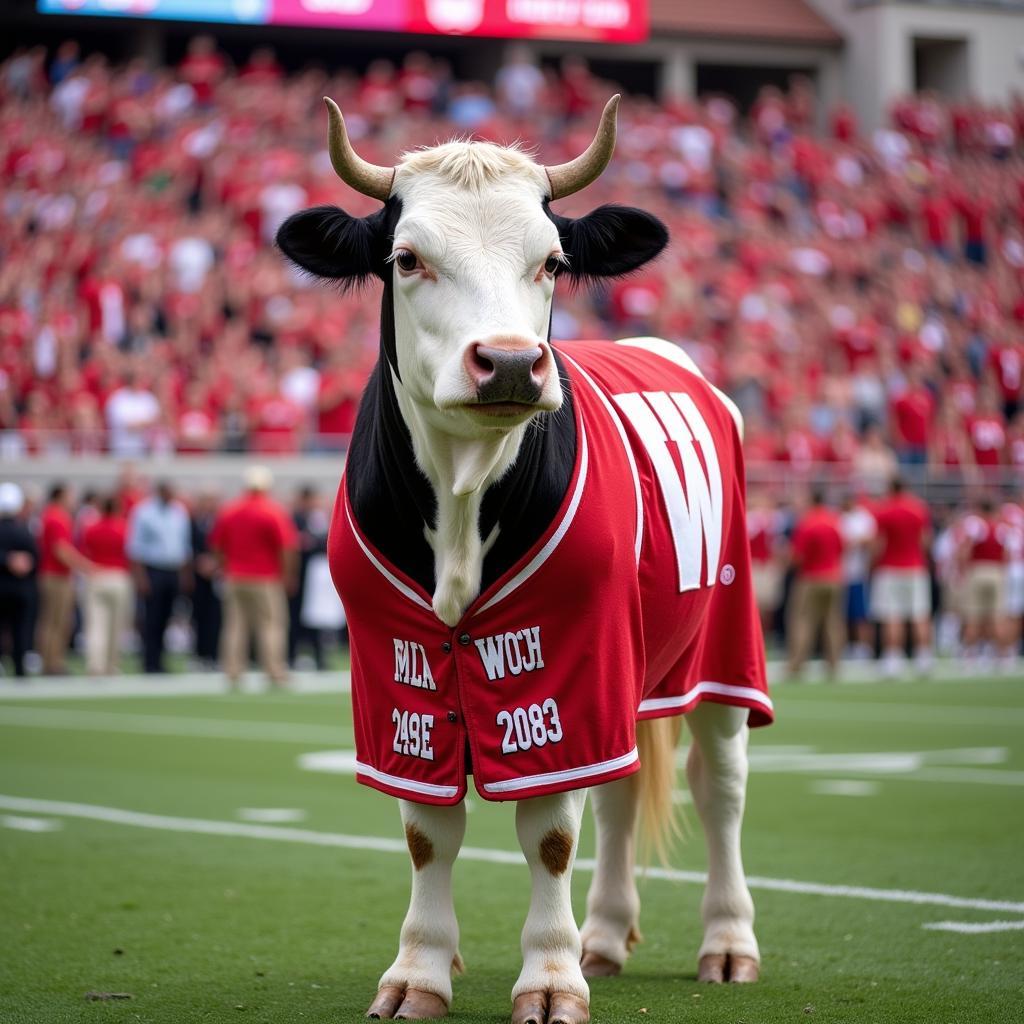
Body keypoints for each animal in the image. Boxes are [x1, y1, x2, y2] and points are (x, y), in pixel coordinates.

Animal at [276, 96, 770, 1024]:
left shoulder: (568, 659)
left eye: (551, 261)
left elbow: (548, 833)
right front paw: (420, 973)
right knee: (622, 791)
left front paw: (550, 978)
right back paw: (604, 936)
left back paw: (726, 942)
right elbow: (427, 833)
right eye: (407, 258)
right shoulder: (397, 670)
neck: (463, 506)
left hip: (723, 647)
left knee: (718, 784)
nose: (507, 361)